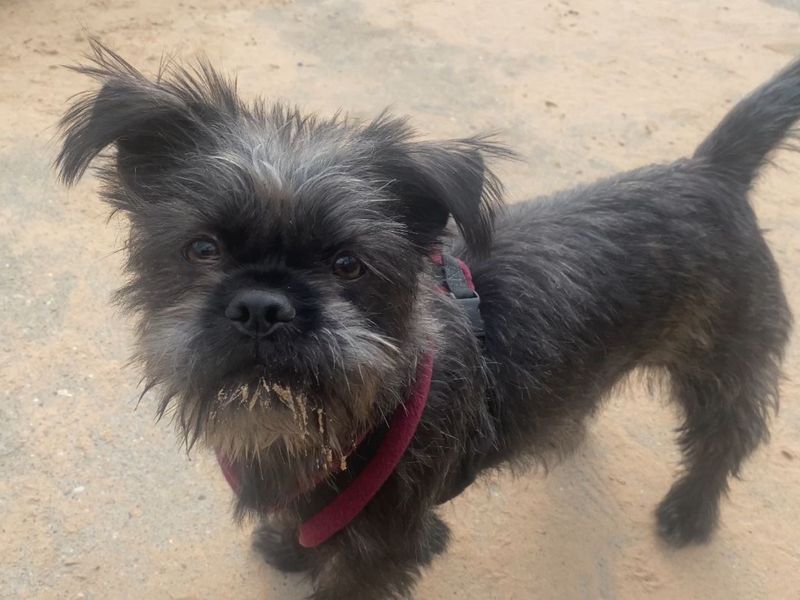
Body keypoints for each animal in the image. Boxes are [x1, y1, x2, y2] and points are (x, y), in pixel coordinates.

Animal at [56, 39, 792, 596]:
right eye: (202, 249)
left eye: (348, 264)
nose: (264, 306)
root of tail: (713, 171)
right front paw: (289, 548)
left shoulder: (383, 548)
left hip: (722, 362)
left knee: (727, 434)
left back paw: (690, 511)